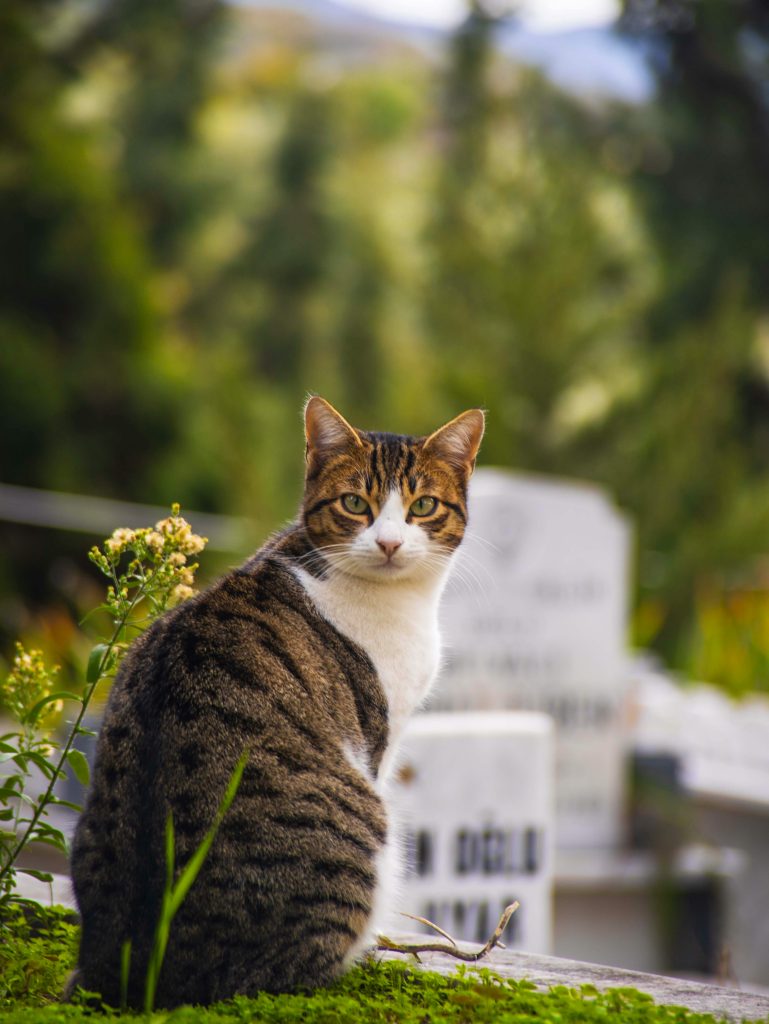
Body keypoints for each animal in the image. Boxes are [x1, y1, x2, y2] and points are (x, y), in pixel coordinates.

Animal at [70, 399, 481, 1007]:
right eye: (355, 503)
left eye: (423, 506)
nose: (388, 543)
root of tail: (135, 968)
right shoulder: (377, 740)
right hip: (365, 828)